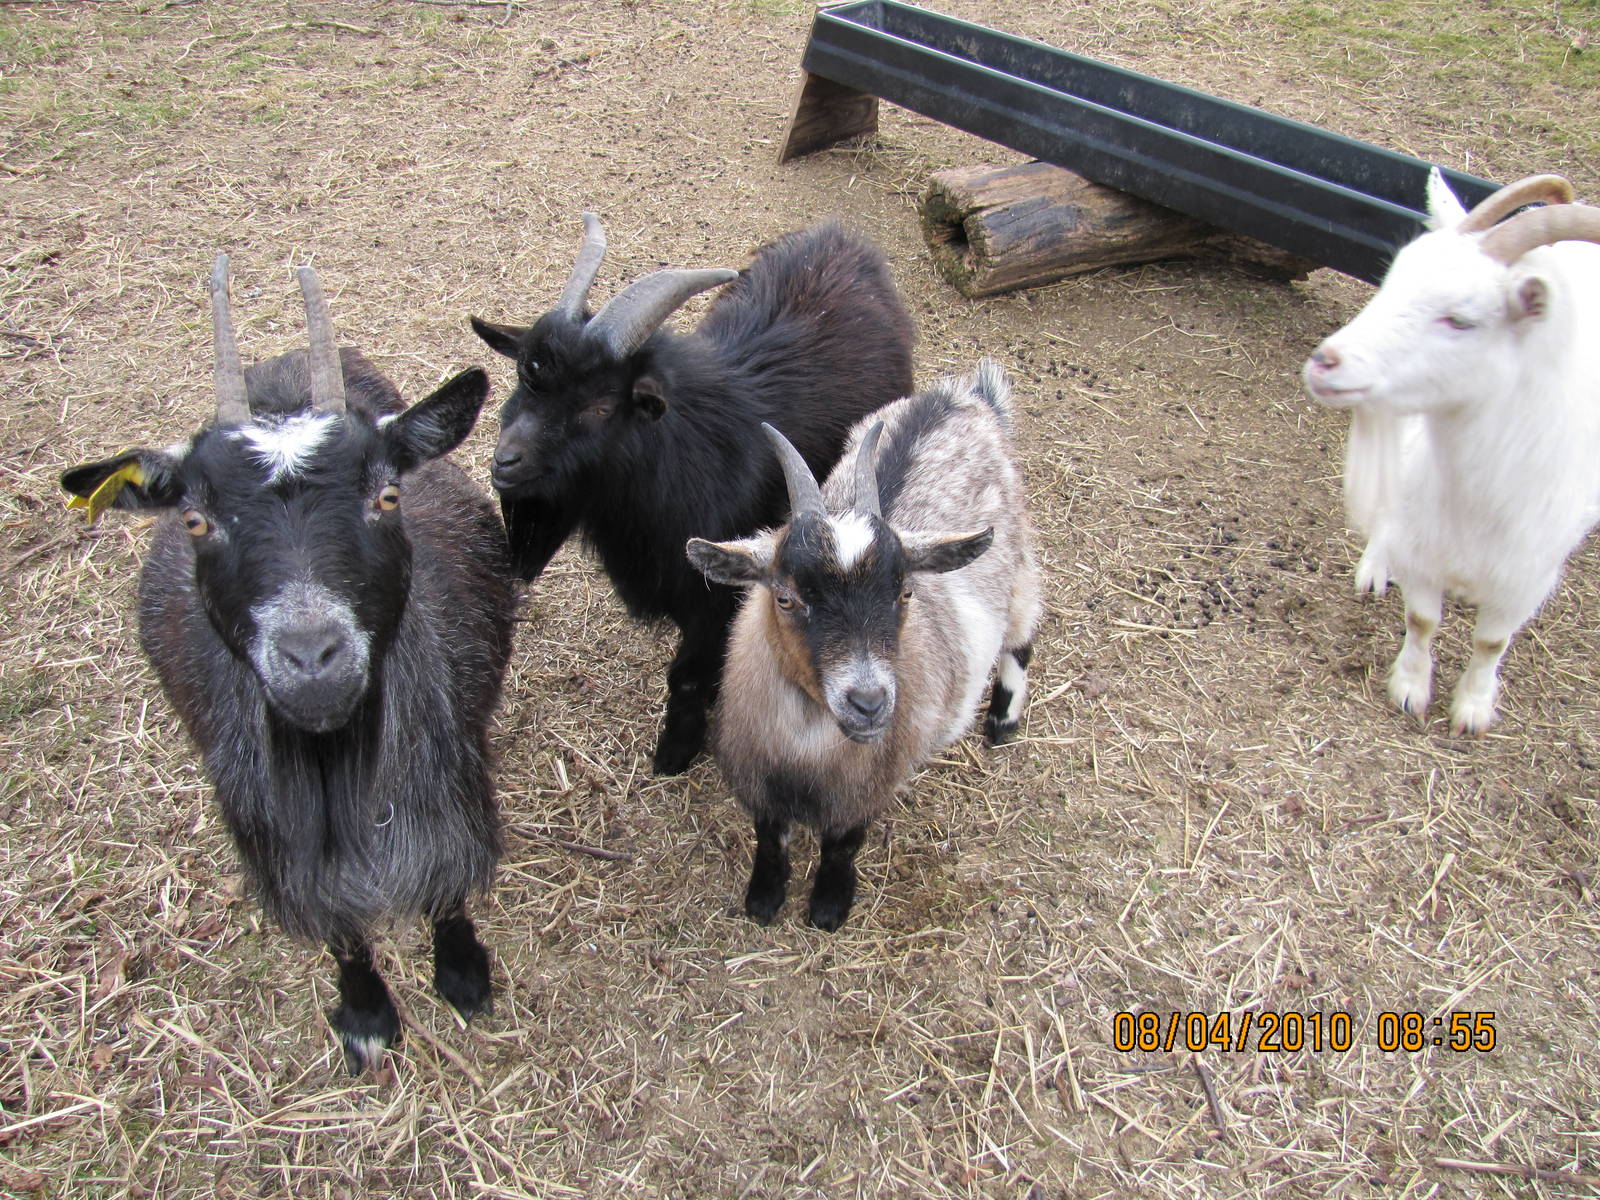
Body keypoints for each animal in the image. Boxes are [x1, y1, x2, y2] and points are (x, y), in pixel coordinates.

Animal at [61, 258, 516, 1071]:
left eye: (386, 494)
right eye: (196, 518)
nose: (312, 658)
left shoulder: (450, 798)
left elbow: (446, 890)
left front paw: (464, 974)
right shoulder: (285, 847)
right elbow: (340, 931)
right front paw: (366, 1014)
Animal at [470, 214, 916, 775]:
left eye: (601, 405)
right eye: (522, 379)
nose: (504, 463)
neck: (676, 456)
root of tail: (845, 239)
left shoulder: (715, 593)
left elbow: (686, 676)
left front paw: (675, 751)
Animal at [686, 360, 1041, 930]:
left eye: (905, 591)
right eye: (785, 597)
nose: (870, 703)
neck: (806, 748)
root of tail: (965, 399)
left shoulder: (869, 784)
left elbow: (843, 844)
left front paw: (829, 906)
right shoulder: (762, 779)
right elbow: (770, 837)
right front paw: (763, 898)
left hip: (1020, 564)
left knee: (1023, 631)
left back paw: (1003, 721)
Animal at [1303, 171, 1600, 734]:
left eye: (1461, 320)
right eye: (1392, 279)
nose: (1326, 361)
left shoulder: (1528, 578)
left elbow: (1492, 641)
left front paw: (1472, 709)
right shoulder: (1422, 546)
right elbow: (1422, 619)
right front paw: (1410, 690)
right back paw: (1375, 566)